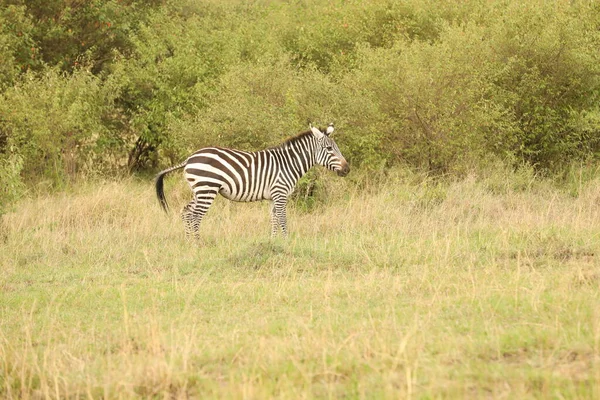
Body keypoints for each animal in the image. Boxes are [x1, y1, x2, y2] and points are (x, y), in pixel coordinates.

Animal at [155, 123, 350, 239]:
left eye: (336, 148)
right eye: (329, 148)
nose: (347, 169)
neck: (288, 163)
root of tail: (189, 158)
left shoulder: (273, 197)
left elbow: (274, 219)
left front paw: (274, 243)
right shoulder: (280, 193)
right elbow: (283, 219)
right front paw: (286, 241)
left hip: (199, 190)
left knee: (186, 212)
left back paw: (189, 242)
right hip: (207, 188)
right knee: (195, 215)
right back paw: (197, 244)